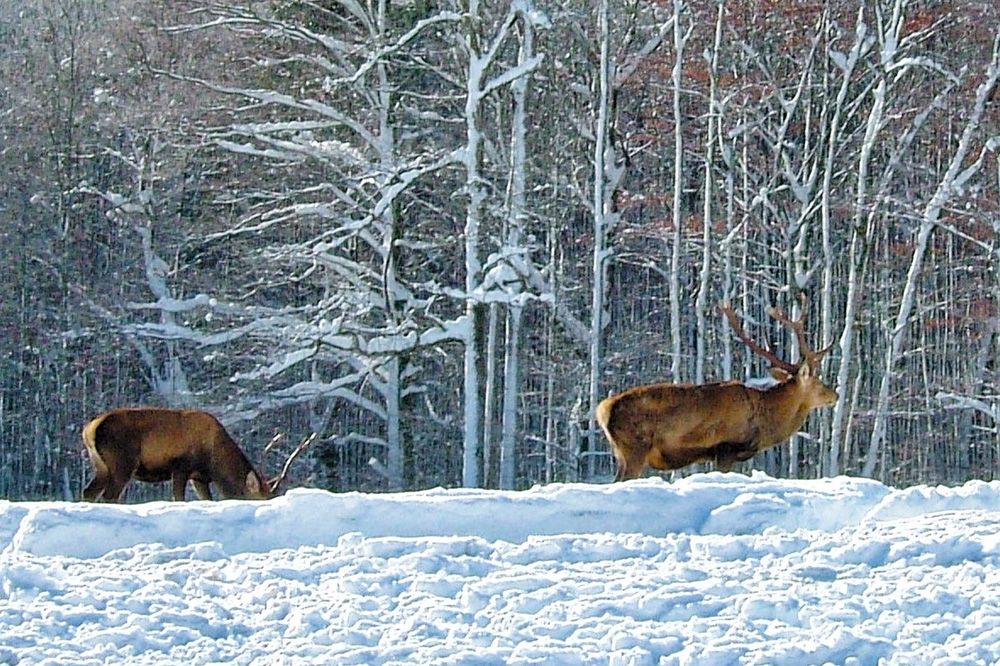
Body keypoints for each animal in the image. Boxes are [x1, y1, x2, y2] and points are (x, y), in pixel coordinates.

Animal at [81, 407, 314, 502]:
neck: (213, 460)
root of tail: (89, 429)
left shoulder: (200, 478)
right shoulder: (181, 467)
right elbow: (178, 498)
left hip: (100, 466)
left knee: (88, 492)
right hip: (122, 463)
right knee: (109, 496)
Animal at [596, 298, 838, 481]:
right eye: (818, 382)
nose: (834, 395)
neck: (765, 421)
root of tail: (603, 409)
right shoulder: (726, 448)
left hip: (621, 453)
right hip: (634, 448)